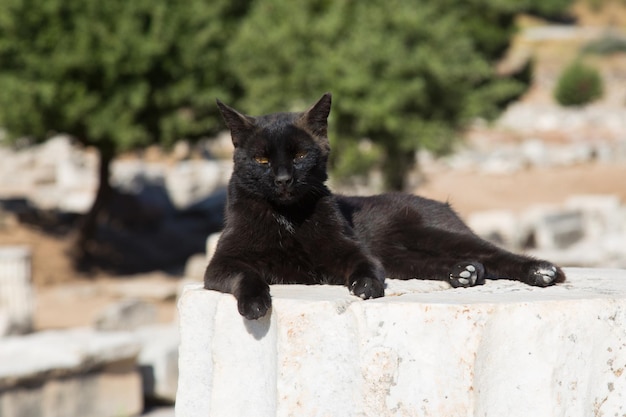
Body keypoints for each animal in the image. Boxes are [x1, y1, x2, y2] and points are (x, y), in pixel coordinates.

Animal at [205, 92, 564, 318]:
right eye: (262, 160)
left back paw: (541, 271)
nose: (283, 179)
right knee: (454, 262)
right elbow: (247, 275)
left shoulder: (350, 252)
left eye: (300, 156)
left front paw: (365, 287)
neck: (289, 218)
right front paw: (255, 305)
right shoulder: (221, 264)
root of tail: (440, 204)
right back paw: (464, 272)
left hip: (434, 234)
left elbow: (364, 266)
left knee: (494, 254)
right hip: (401, 260)